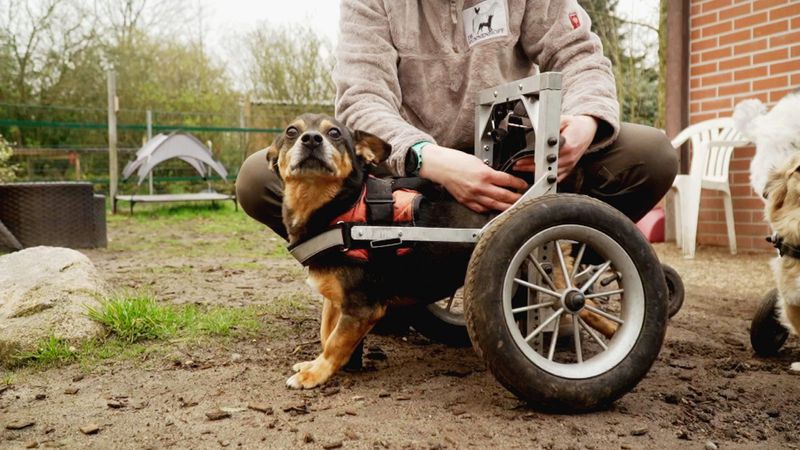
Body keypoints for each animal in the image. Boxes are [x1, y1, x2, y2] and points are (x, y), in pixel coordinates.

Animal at [266, 114, 616, 388]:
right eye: (291, 131)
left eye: (335, 133)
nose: (312, 140)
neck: (338, 207)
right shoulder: (337, 298)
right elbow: (326, 333)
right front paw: (315, 365)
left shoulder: (362, 305)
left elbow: (336, 342)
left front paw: (315, 373)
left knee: (582, 303)